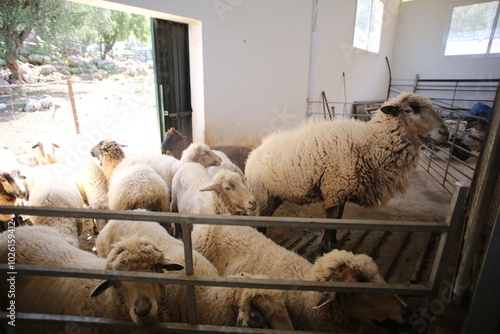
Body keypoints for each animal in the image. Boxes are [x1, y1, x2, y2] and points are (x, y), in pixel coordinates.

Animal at [246, 92, 450, 252]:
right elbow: (331, 221)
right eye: (410, 110)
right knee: (260, 218)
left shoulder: (342, 189)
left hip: (275, 194)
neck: (371, 143)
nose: (445, 133)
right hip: (263, 193)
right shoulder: (334, 188)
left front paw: (335, 242)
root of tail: (253, 154)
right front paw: (325, 247)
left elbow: (339, 219)